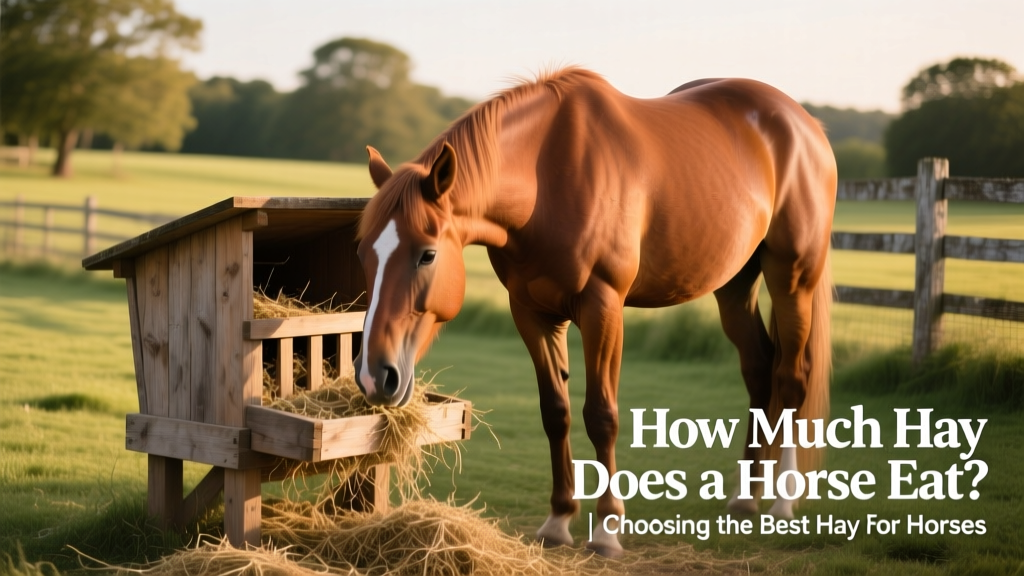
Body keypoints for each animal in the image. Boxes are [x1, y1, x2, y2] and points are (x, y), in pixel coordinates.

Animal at [352, 67, 835, 557]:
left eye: (427, 255)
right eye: (364, 254)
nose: (375, 376)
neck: (546, 177)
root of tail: (804, 124)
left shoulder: (603, 308)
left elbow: (602, 416)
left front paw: (606, 529)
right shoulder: (532, 313)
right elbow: (556, 412)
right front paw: (558, 520)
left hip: (792, 278)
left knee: (791, 378)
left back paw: (782, 501)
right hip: (735, 285)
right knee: (758, 368)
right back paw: (746, 496)